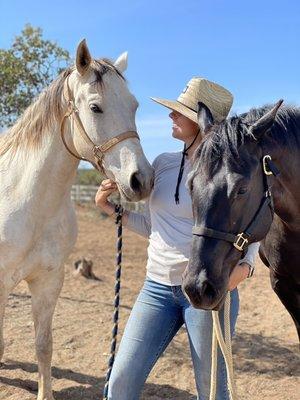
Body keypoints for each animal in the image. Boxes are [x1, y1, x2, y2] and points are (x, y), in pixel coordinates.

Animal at [0, 39, 154, 398]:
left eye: (134, 106)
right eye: (96, 108)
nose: (141, 180)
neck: (29, 204)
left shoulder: (49, 281)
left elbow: (44, 345)